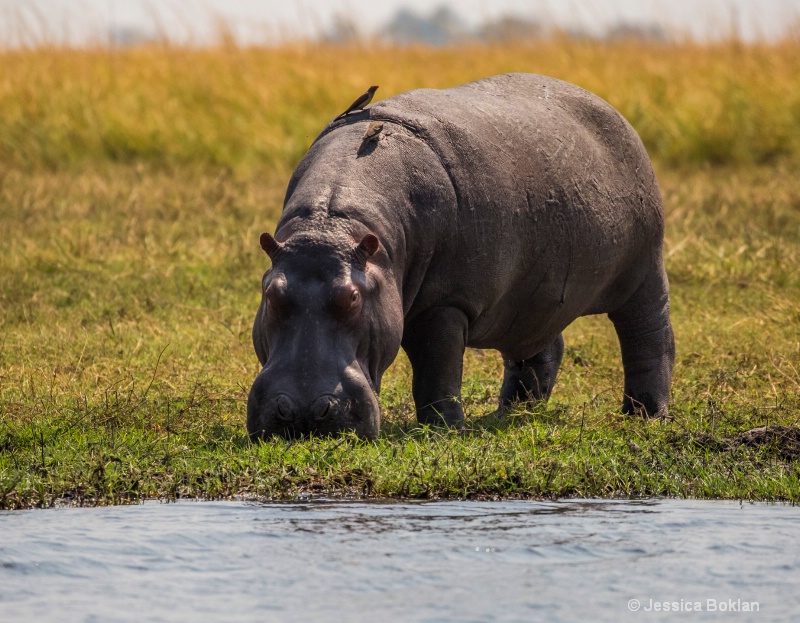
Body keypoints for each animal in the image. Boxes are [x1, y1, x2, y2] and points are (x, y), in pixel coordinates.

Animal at [248, 73, 676, 442]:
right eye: (271, 295)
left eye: (352, 298)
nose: (304, 413)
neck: (333, 224)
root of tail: (612, 110)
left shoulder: (445, 303)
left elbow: (437, 372)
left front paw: (445, 430)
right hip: (533, 295)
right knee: (540, 350)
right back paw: (509, 415)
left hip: (645, 268)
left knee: (649, 335)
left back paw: (645, 416)